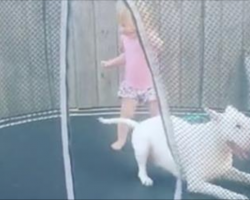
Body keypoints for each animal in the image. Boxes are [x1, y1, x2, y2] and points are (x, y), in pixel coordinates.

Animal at [98, 105, 250, 199]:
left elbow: (244, 176)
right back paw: (145, 178)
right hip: (143, 148)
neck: (217, 145)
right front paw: (239, 196)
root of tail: (139, 124)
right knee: (141, 167)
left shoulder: (226, 170)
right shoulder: (196, 183)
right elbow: (222, 190)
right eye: (237, 126)